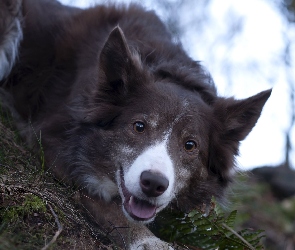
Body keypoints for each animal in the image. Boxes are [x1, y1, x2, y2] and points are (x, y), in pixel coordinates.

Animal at [0, 0, 272, 249]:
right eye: (139, 126)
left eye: (190, 145)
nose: (153, 184)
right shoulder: (53, 142)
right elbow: (109, 206)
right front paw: (148, 240)